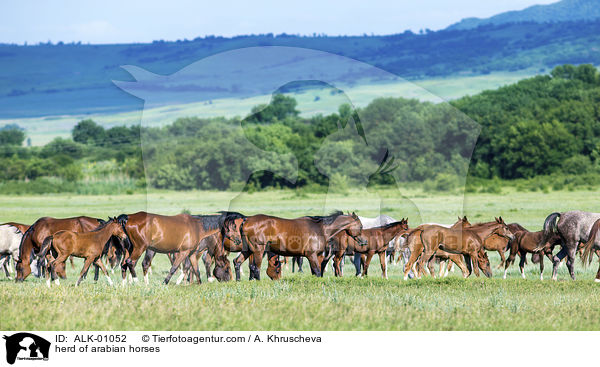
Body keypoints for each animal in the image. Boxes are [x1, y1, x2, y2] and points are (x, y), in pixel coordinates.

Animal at [224, 211, 364, 280]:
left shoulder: (317, 256)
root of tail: (246, 220)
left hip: (247, 249)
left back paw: (238, 280)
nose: (364, 242)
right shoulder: (312, 255)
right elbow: (318, 272)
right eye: (361, 226)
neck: (320, 228)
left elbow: (315, 272)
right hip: (258, 250)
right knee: (255, 267)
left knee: (237, 262)